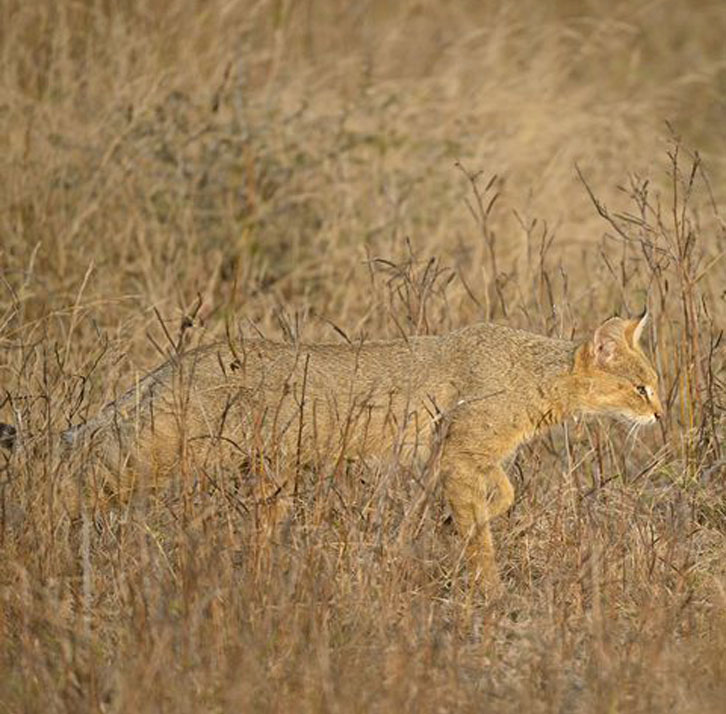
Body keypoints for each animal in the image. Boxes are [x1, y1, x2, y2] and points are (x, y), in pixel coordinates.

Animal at [0, 312, 664, 588]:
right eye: (641, 386)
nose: (661, 413)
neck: (535, 375)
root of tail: (176, 363)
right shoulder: (458, 455)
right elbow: (483, 541)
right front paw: (489, 592)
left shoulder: (460, 458)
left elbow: (503, 494)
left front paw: (458, 526)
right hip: (152, 457)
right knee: (61, 476)